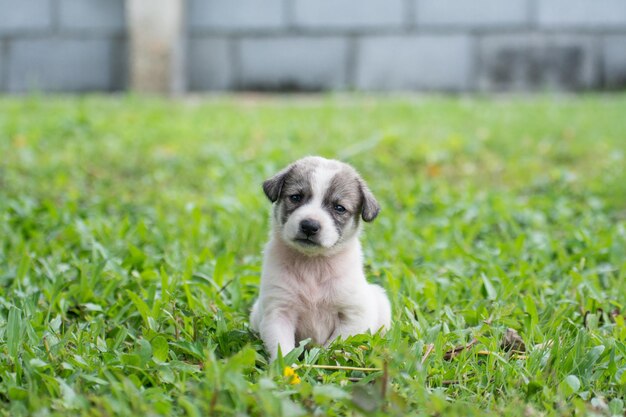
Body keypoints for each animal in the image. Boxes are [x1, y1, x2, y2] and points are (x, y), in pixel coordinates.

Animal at [250, 154, 390, 360]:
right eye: (296, 197)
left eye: (339, 208)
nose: (309, 226)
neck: (313, 264)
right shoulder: (278, 312)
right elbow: (282, 349)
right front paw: (287, 366)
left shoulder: (354, 315)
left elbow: (335, 346)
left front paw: (322, 359)